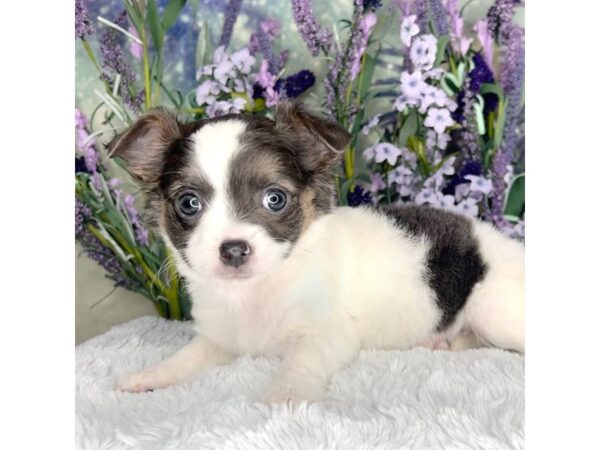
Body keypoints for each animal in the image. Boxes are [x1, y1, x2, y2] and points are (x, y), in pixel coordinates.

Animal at [110, 102, 524, 404]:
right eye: (189, 203)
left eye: (275, 199)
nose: (233, 250)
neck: (255, 292)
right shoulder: (220, 340)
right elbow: (185, 358)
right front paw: (149, 376)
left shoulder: (327, 335)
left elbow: (300, 361)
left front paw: (284, 397)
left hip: (494, 311)